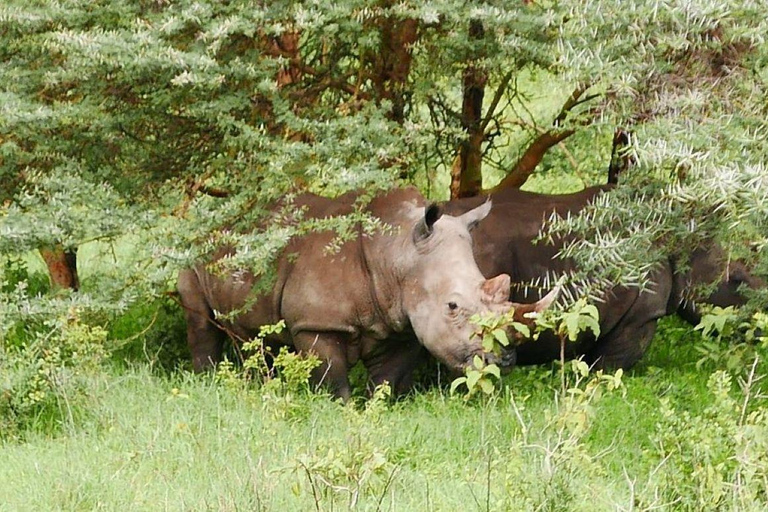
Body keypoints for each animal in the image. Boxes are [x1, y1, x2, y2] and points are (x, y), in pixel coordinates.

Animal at [180, 186, 552, 398]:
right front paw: (340, 409)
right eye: (452, 306)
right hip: (191, 248)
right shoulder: (317, 323)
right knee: (200, 321)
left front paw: (379, 406)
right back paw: (209, 381)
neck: (397, 251)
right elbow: (331, 378)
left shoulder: (403, 325)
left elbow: (387, 380)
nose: (504, 361)